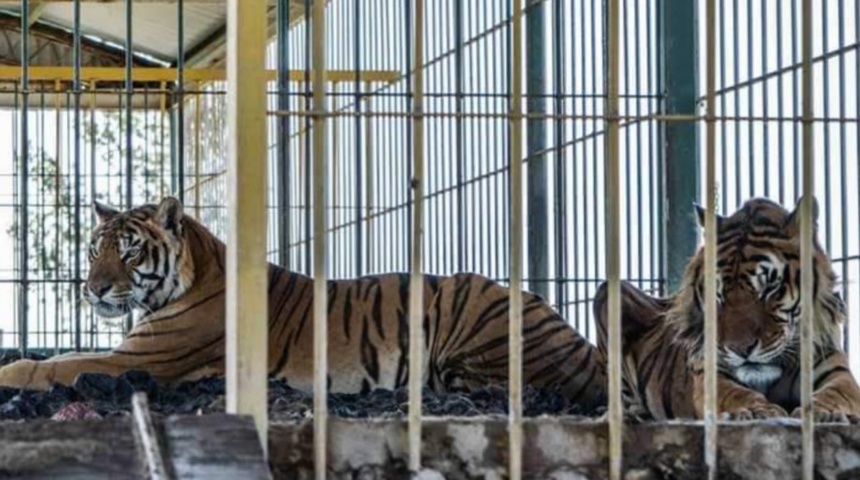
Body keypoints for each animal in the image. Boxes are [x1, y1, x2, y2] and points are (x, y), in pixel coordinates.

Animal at [0, 195, 608, 412]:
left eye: (127, 251)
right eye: (94, 249)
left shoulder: (138, 359)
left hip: (469, 303)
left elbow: (54, 366)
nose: (94, 288)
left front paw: (11, 373)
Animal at [596, 197, 860, 422]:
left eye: (770, 287)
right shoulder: (710, 372)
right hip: (609, 291)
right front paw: (754, 411)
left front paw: (825, 413)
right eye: (718, 293)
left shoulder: (835, 369)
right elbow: (735, 394)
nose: (740, 349)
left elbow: (837, 393)